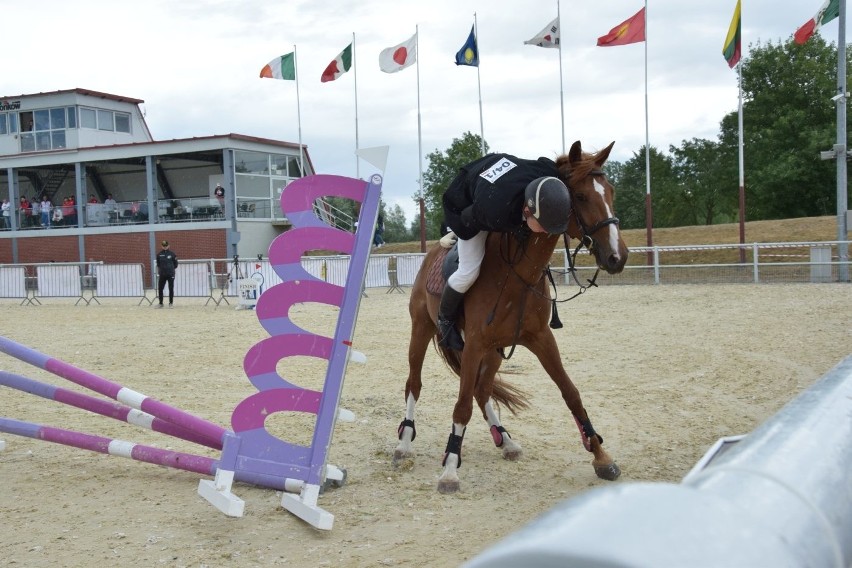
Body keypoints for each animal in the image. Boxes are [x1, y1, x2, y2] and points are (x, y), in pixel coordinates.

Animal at [396, 141, 628, 492]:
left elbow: (571, 394)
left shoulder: (541, 338)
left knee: (482, 390)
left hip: (495, 350)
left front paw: (600, 455)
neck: (520, 272)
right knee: (415, 383)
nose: (618, 256)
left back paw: (504, 440)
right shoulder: (474, 344)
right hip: (422, 329)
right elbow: (461, 407)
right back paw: (404, 441)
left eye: (611, 192)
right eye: (581, 197)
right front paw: (450, 469)